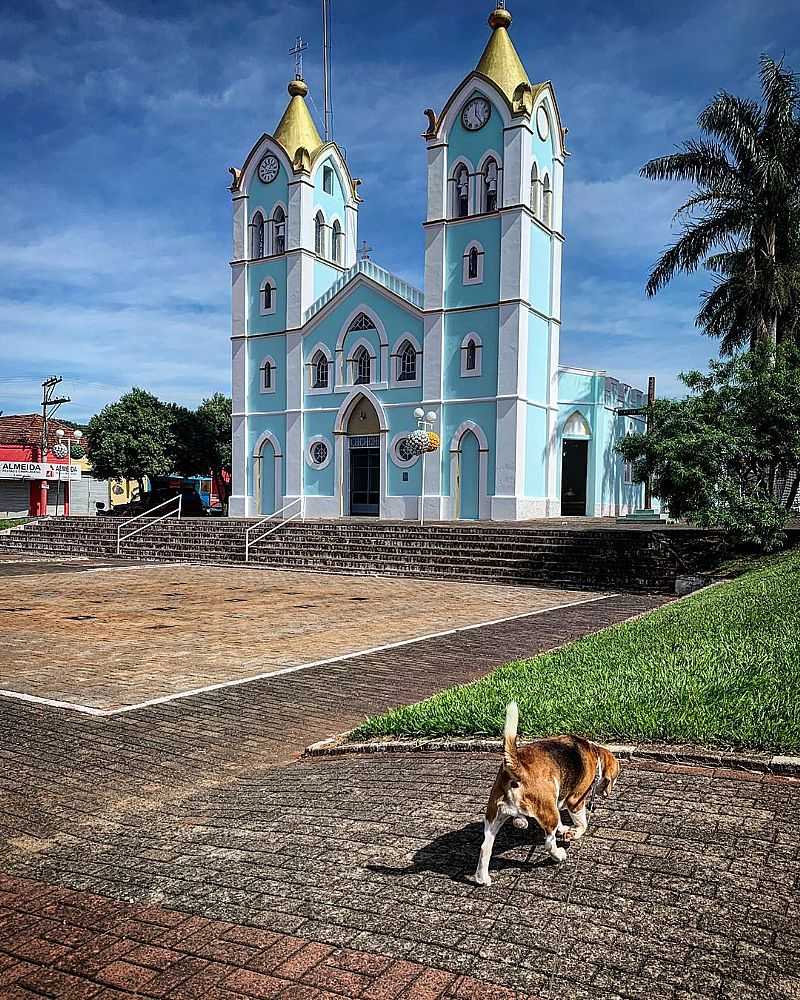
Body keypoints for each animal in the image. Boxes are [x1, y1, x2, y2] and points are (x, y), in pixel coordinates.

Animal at [476, 704, 620, 884]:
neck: (595, 755)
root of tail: (518, 766)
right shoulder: (575, 801)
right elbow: (582, 824)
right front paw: (573, 832)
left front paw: (564, 829)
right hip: (548, 812)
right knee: (549, 844)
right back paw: (559, 855)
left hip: (495, 816)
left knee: (485, 847)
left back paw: (482, 878)